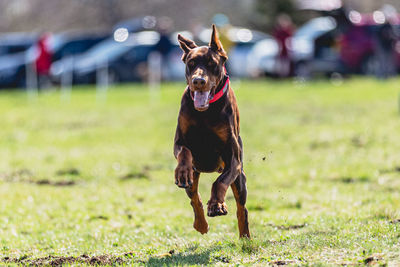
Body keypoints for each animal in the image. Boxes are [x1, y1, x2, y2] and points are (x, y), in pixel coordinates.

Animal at [173, 25, 248, 239]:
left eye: (211, 63)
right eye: (191, 63)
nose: (198, 81)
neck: (205, 112)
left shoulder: (233, 159)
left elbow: (219, 183)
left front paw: (216, 205)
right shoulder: (180, 141)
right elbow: (184, 151)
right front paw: (182, 171)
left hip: (240, 178)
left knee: (242, 208)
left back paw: (245, 236)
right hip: (195, 175)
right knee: (194, 197)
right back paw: (201, 224)